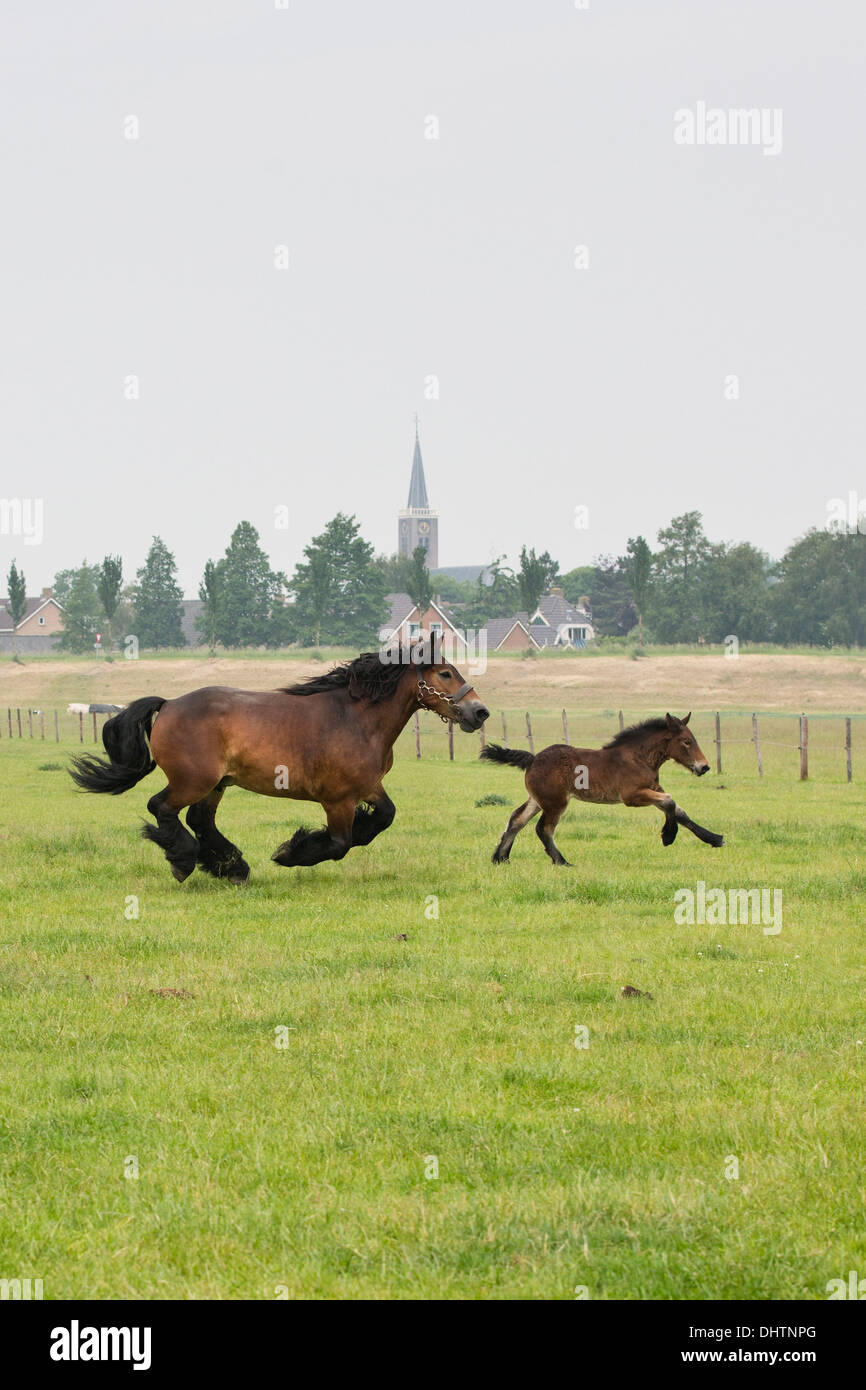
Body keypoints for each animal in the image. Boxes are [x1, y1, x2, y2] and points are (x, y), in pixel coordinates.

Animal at [69, 645, 489, 883]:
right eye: (445, 673)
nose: (480, 711)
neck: (356, 718)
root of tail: (169, 704)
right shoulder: (337, 799)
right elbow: (340, 842)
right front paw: (291, 853)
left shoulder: (368, 787)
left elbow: (383, 817)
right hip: (193, 780)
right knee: (162, 808)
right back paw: (186, 861)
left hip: (216, 784)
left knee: (199, 820)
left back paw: (231, 868)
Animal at [480, 712, 724, 865]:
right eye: (686, 742)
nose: (704, 767)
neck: (639, 757)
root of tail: (533, 759)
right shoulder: (632, 796)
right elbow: (670, 801)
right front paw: (668, 836)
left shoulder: (652, 789)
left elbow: (679, 810)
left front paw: (714, 838)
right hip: (556, 802)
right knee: (543, 829)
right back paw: (561, 861)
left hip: (538, 800)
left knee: (517, 819)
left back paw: (500, 857)